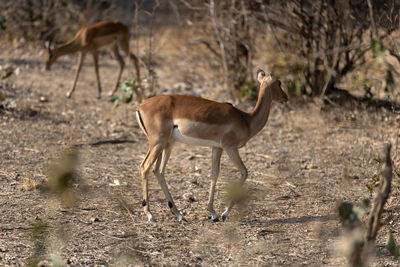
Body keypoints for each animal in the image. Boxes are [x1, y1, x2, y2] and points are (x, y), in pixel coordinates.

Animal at [137, 69, 288, 222]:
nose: (285, 97)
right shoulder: (230, 147)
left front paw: (213, 213)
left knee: (158, 171)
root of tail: (140, 107)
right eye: (279, 82)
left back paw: (179, 214)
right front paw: (224, 213)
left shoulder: (217, 148)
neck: (246, 120)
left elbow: (214, 174)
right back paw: (150, 214)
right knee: (145, 167)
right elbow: (244, 172)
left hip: (166, 144)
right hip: (158, 143)